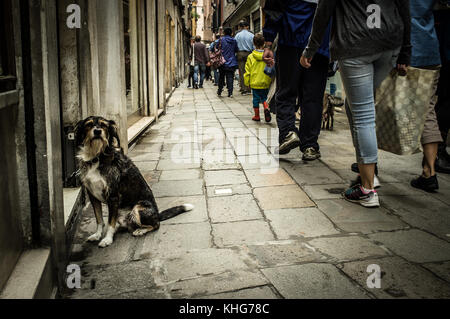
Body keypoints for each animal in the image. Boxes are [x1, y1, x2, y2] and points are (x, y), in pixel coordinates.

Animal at [74, 116, 193, 249]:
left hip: (138, 208)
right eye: (88, 125)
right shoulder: (92, 195)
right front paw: (97, 235)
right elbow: (99, 219)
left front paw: (107, 239)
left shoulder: (113, 196)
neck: (97, 157)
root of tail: (157, 214)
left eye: (103, 125)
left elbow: (110, 223)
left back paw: (140, 230)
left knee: (156, 224)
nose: (97, 131)